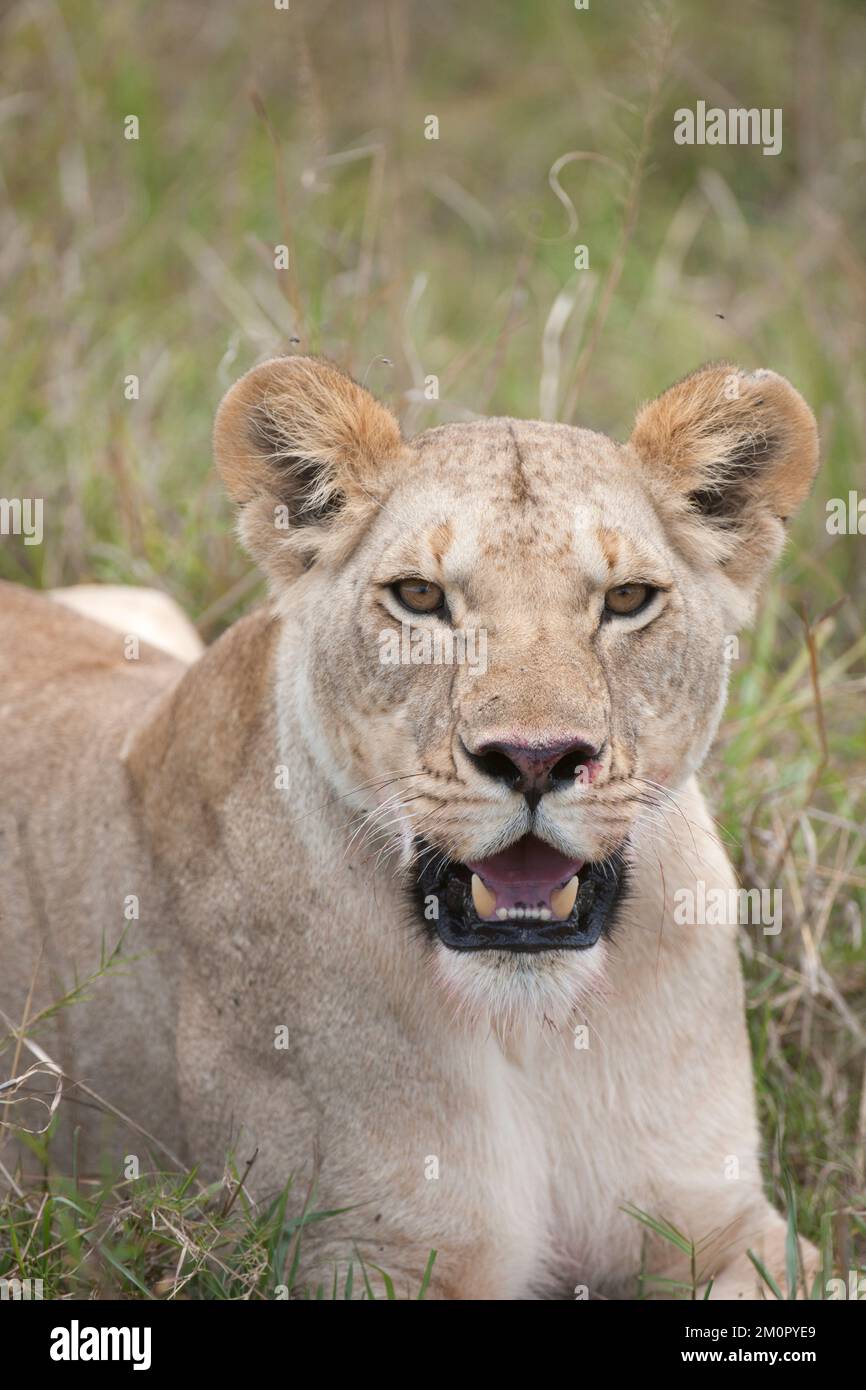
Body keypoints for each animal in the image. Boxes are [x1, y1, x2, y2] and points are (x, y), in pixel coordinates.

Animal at [0, 357, 821, 1299]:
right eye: (420, 597)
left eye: (627, 600)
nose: (536, 757)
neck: (535, 1033)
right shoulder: (358, 1257)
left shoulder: (732, 1226)